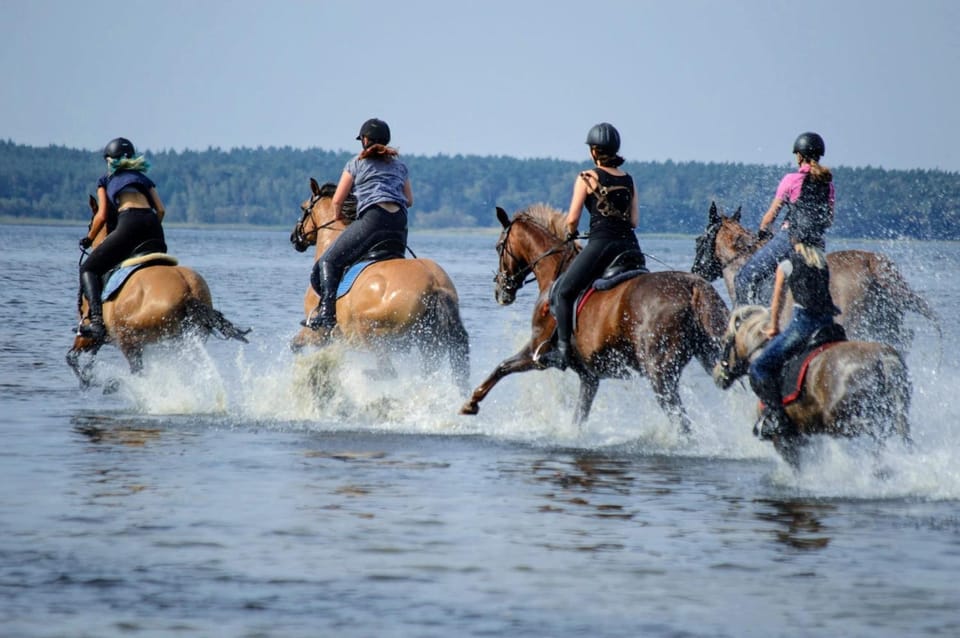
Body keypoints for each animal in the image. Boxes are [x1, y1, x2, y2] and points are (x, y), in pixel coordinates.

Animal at [67, 196, 250, 387]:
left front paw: (87, 380)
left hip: (131, 340)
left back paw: (115, 385)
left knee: (137, 370)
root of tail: (188, 292)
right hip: (185, 340)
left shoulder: (88, 336)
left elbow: (72, 356)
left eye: (90, 224)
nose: (85, 240)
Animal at [289, 178, 470, 395]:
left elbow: (295, 345)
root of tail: (435, 285)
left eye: (303, 207)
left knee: (388, 371)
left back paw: (364, 376)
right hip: (428, 342)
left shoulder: (318, 334)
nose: (294, 238)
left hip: (373, 331)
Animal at [459, 204, 730, 433]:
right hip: (712, 356)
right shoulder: (590, 376)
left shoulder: (537, 351)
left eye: (498, 247)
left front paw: (470, 403)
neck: (552, 273)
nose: (500, 291)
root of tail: (694, 287)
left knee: (682, 423)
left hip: (660, 373)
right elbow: (579, 416)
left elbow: (502, 367)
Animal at [713, 305, 911, 467]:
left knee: (877, 432)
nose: (717, 375)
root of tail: (884, 357)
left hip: (842, 422)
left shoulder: (784, 440)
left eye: (723, 341)